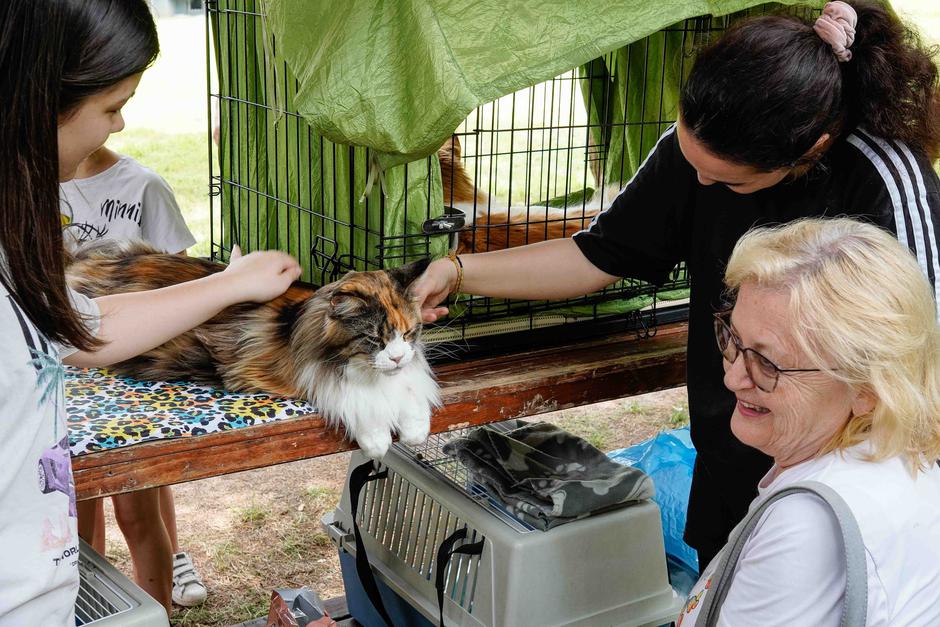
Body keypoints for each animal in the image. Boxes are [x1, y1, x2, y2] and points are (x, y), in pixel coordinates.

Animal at [66, 242, 440, 462]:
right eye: (375, 338)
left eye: (409, 333)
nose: (397, 357)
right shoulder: (294, 373)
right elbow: (355, 402)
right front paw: (377, 440)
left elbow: (411, 395)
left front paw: (415, 429)